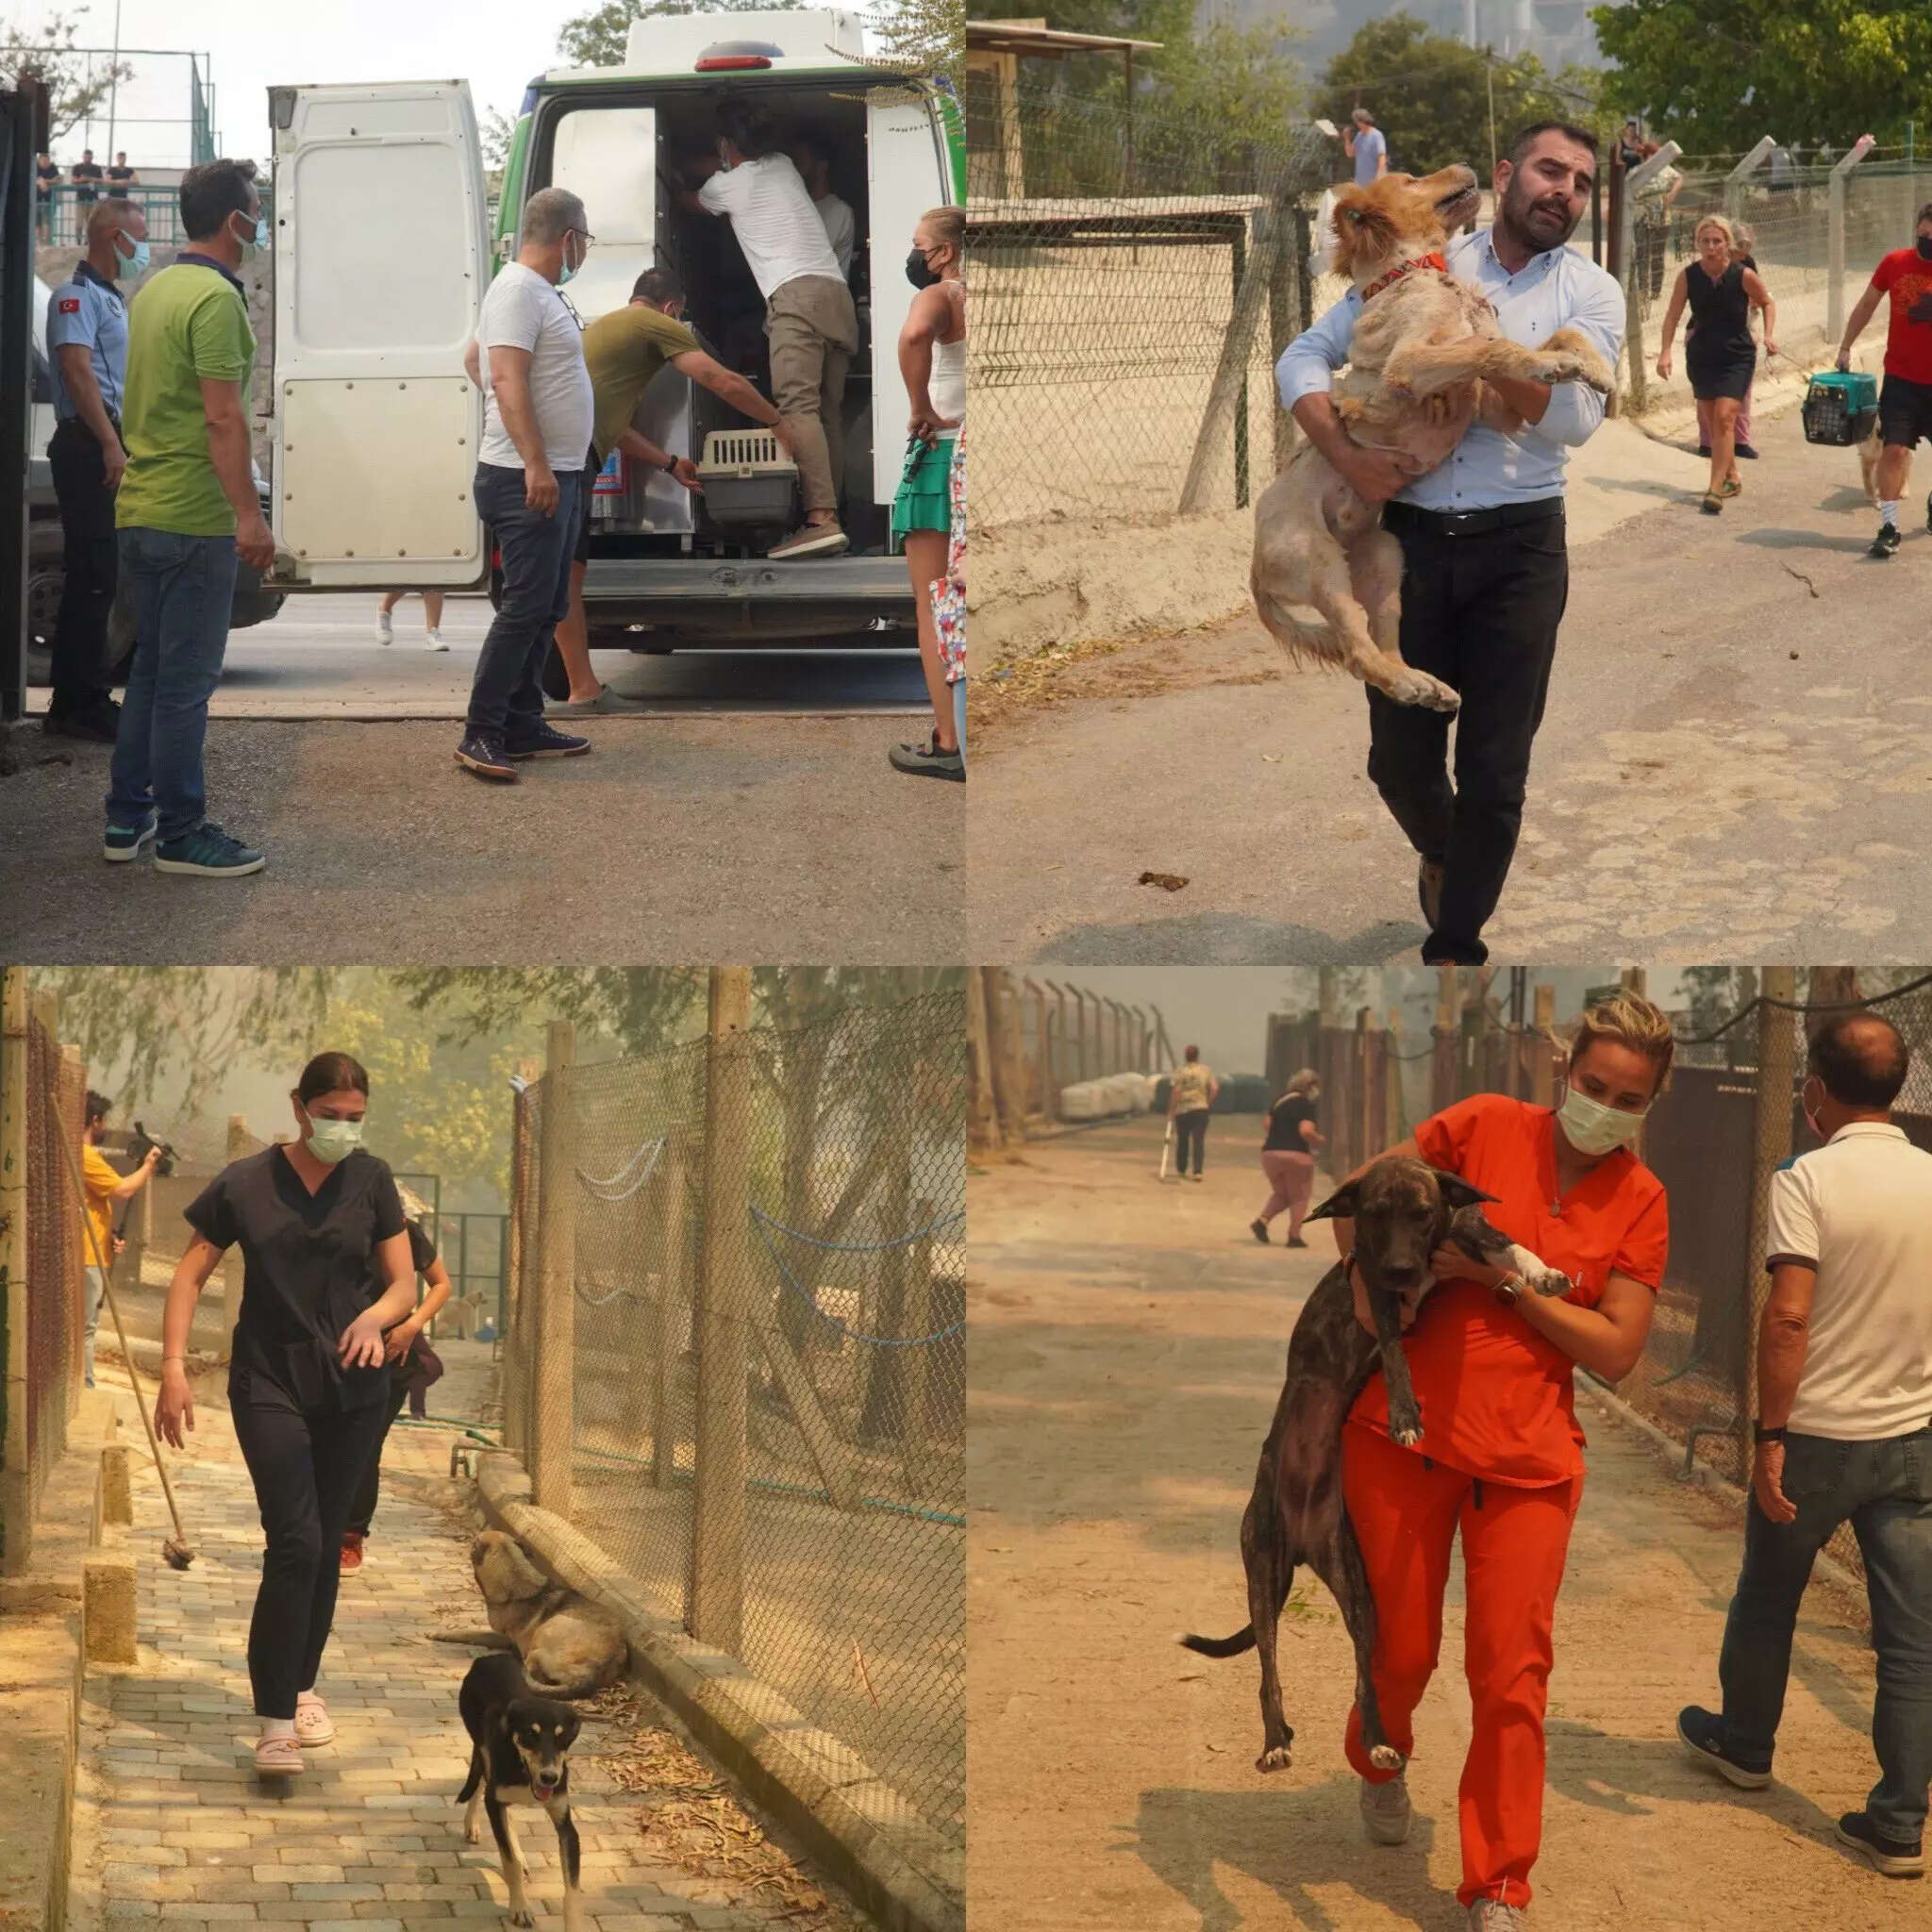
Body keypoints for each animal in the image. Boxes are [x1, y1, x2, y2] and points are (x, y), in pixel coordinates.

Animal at [432, 1530, 625, 1700]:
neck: (516, 1580)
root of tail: (589, 1674)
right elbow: (472, 1633)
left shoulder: (505, 1638)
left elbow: (471, 1633)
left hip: (547, 1631)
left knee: (531, 1668)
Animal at [459, 1645, 587, 1932]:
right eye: (531, 1735)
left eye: (563, 1738)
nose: (549, 1777)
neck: (524, 1773)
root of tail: (487, 1658)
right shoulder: (494, 1800)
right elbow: (509, 1862)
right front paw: (519, 1907)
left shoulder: (566, 1826)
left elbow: (572, 1890)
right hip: (481, 1744)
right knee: (480, 1782)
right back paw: (472, 1824)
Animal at [1174, 1151, 1568, 1769]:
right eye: (1376, 1214)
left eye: (1423, 1212)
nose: (1404, 1270)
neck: (1423, 1256)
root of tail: (1304, 1542)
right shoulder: (1378, 1293)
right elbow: (1397, 1357)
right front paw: (1406, 1417)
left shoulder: (1467, 1233)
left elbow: (1511, 1246)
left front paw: (1544, 1274)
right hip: (1263, 1572)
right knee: (1267, 1669)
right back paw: (1275, 1741)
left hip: (1359, 1592)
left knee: (1365, 1676)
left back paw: (1377, 1742)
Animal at [1252, 166, 1615, 710]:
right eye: (1409, 179)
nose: (1466, 168)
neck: (1418, 273)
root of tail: (1254, 568)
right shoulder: (1409, 364)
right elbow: (1490, 347)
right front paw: (1547, 364)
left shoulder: (1498, 407)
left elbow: (1560, 337)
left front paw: (1593, 368)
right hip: (1317, 562)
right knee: (1357, 652)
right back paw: (1406, 683)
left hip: (1384, 555)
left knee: (1382, 640)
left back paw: (1426, 684)